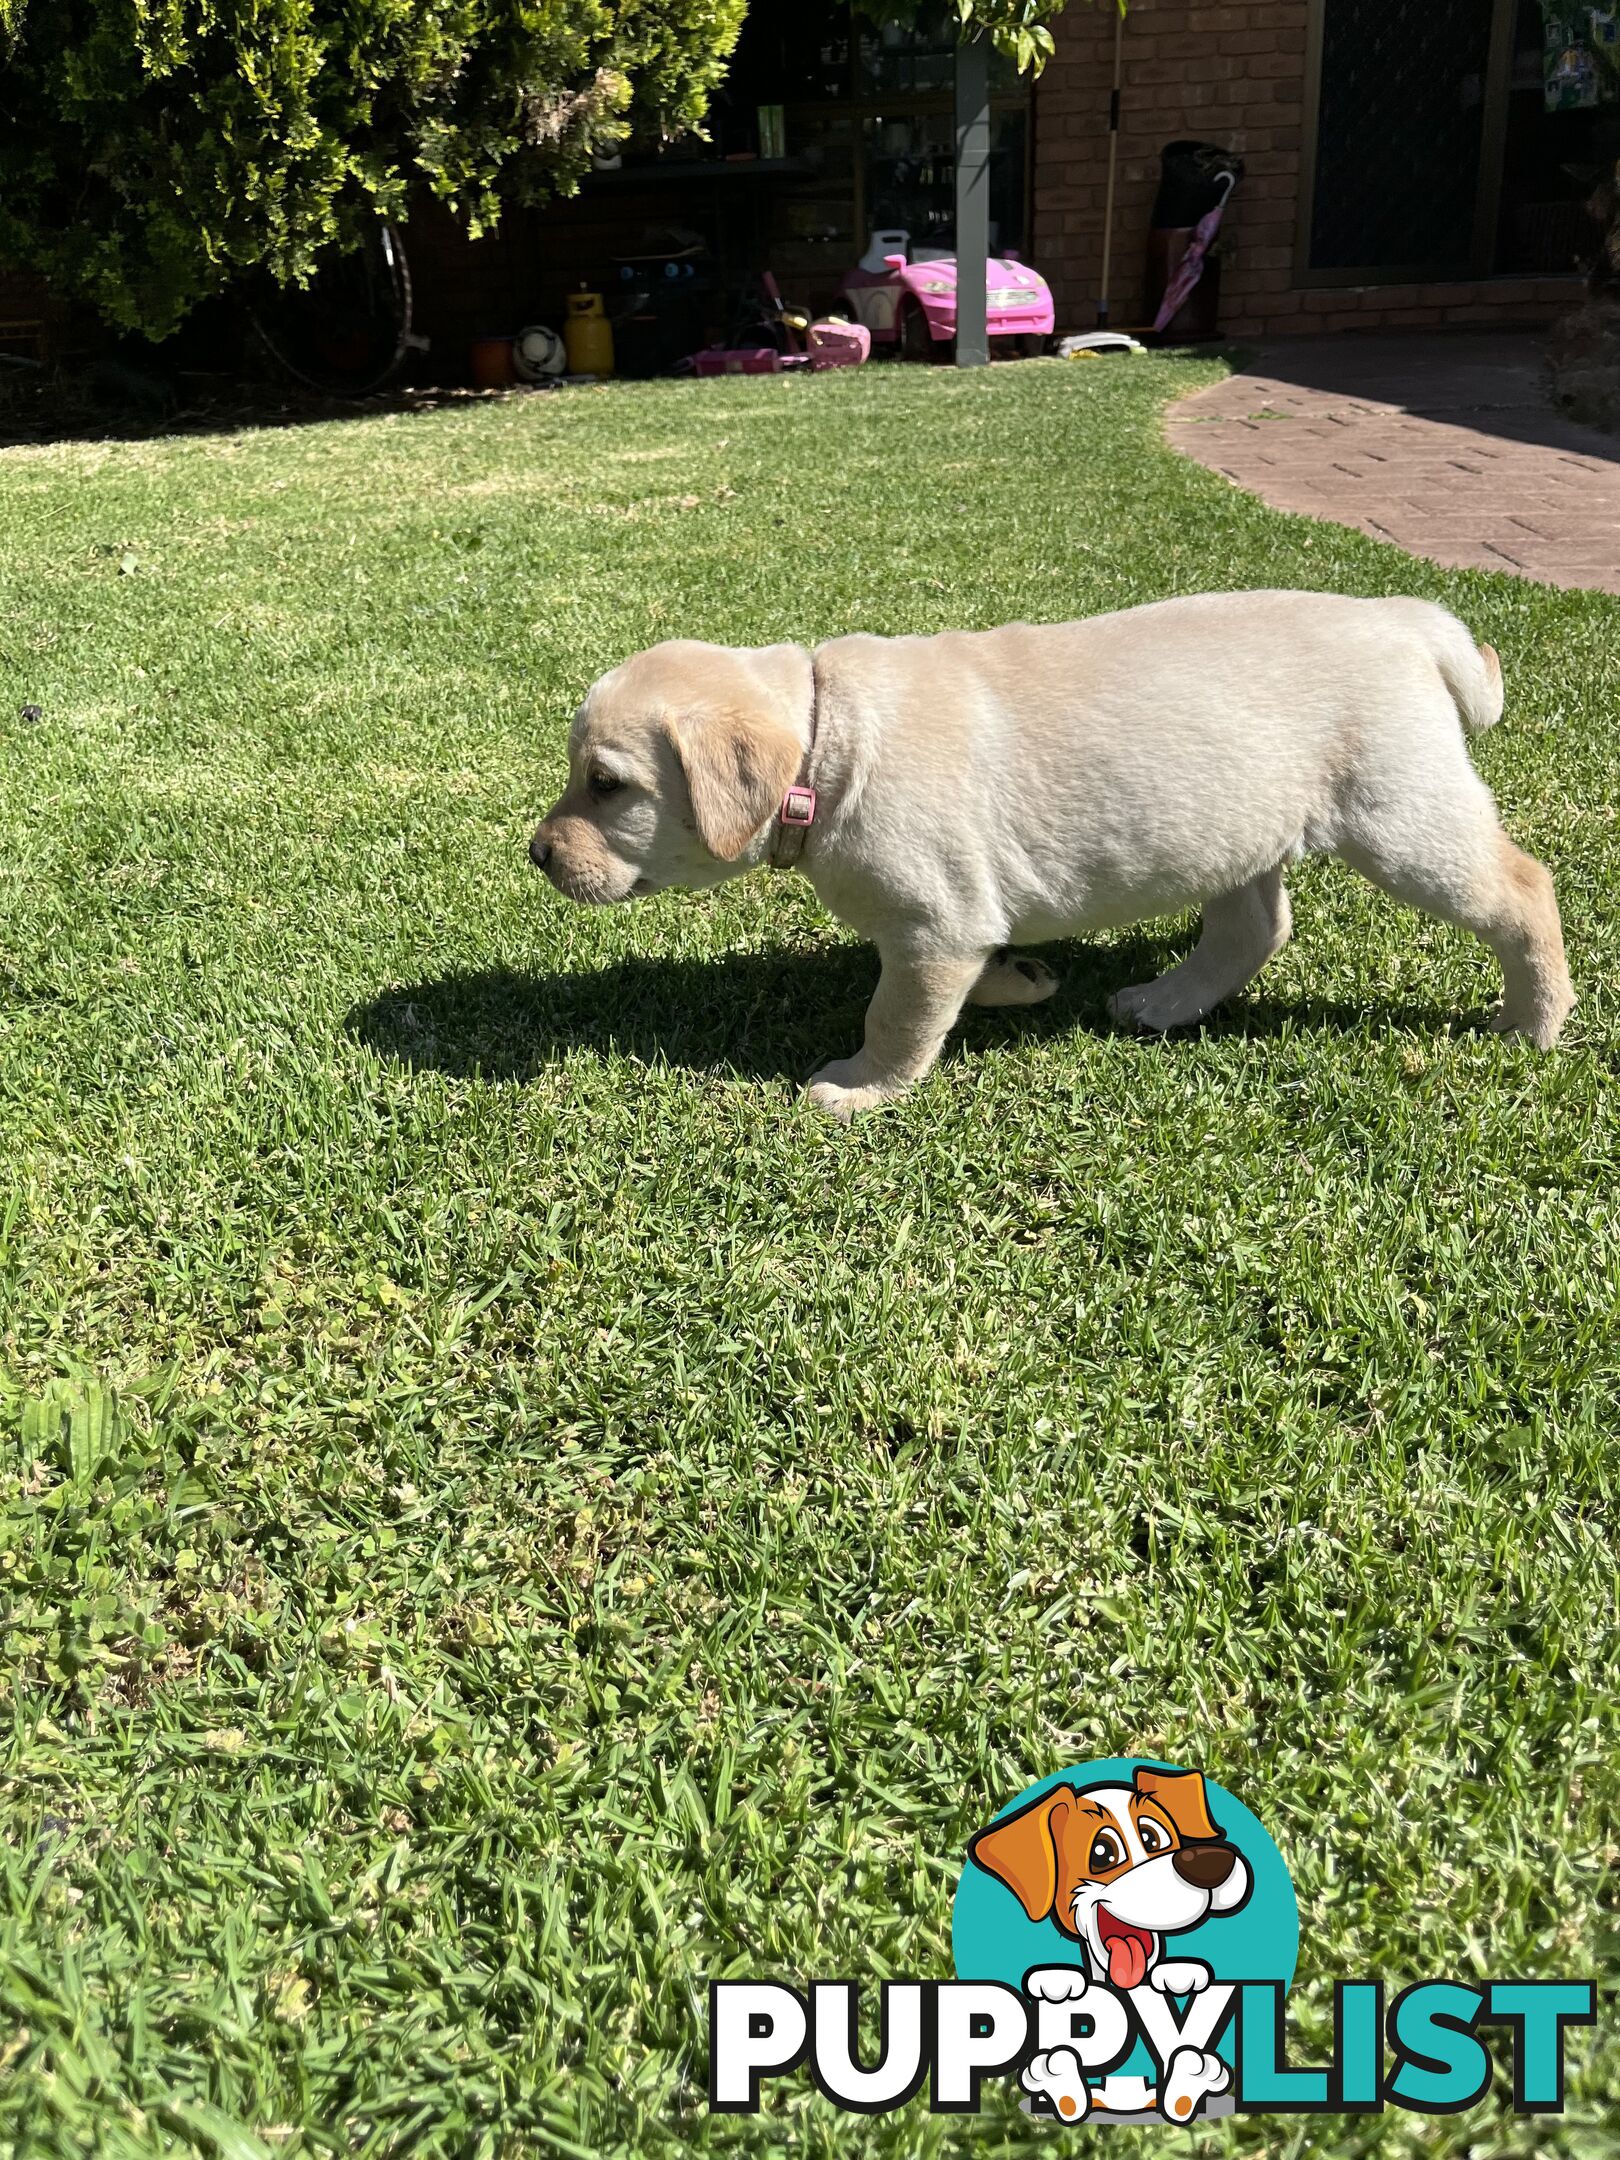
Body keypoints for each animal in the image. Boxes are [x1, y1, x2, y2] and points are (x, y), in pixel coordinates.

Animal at [533, 600, 1572, 1123]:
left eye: (606, 784)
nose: (537, 853)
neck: (829, 744)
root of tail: (1410, 619)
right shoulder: (952, 921)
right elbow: (964, 969)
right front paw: (1021, 981)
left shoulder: (933, 922)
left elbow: (896, 1013)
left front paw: (863, 1087)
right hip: (1236, 819)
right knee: (1253, 928)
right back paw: (1164, 1002)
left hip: (1401, 815)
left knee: (1524, 887)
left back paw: (1536, 1020)